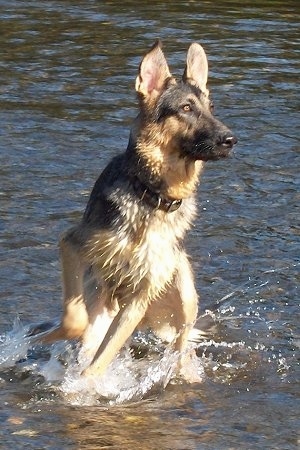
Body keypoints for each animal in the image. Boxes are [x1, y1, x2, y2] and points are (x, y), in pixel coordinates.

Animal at [38, 41, 237, 380]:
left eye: (211, 107)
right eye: (186, 108)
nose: (230, 140)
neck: (151, 196)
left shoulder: (139, 298)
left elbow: (101, 361)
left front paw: (85, 386)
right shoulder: (72, 244)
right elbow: (75, 320)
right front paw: (50, 339)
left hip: (183, 291)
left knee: (181, 344)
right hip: (104, 297)